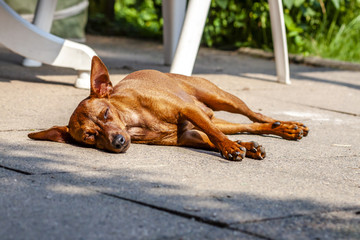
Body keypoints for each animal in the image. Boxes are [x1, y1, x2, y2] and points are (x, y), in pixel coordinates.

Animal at [28, 56, 310, 160]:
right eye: (89, 136)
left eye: (106, 113)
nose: (118, 142)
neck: (136, 122)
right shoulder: (189, 136)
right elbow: (212, 139)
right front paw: (243, 148)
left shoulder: (189, 112)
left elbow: (216, 137)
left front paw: (231, 148)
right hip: (218, 117)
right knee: (248, 126)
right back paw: (275, 131)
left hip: (220, 97)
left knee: (254, 114)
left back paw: (289, 126)